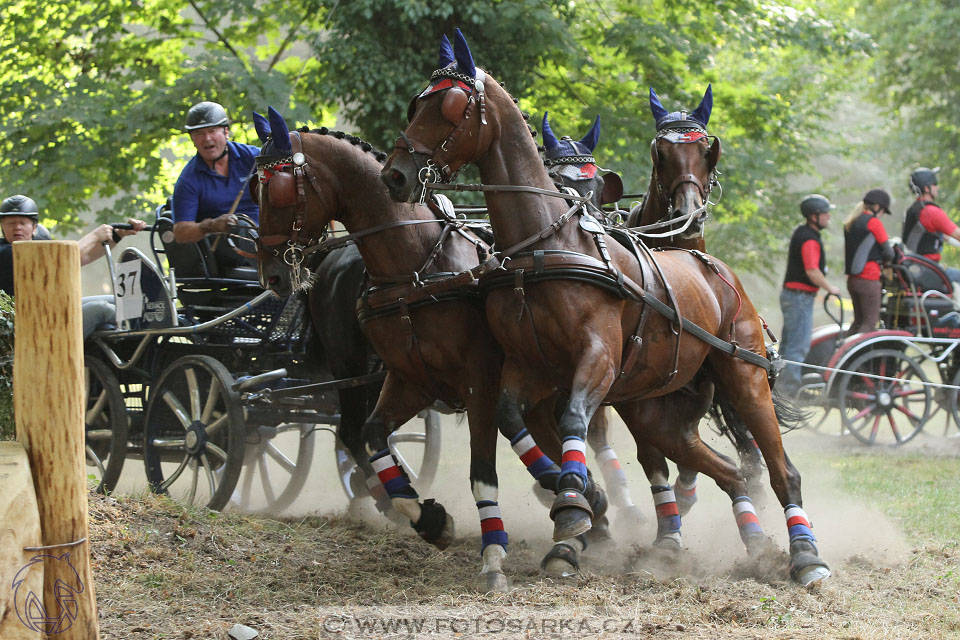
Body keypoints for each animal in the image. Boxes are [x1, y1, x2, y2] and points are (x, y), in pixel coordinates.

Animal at [248, 106, 608, 592]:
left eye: (278, 187)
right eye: (259, 187)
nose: (270, 274)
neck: (416, 266)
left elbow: (485, 467)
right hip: (350, 368)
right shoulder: (413, 380)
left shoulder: (476, 381)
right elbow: (377, 436)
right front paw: (430, 519)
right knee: (351, 433)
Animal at [382, 31, 832, 584]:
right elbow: (513, 417)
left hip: (743, 377)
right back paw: (747, 544)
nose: (396, 175)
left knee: (779, 469)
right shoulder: (530, 368)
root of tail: (714, 268)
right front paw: (577, 503)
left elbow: (576, 420)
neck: (545, 246)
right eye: (417, 103)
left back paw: (806, 555)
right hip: (656, 409)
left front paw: (574, 512)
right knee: (723, 468)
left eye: (451, 107)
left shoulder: (596, 357)